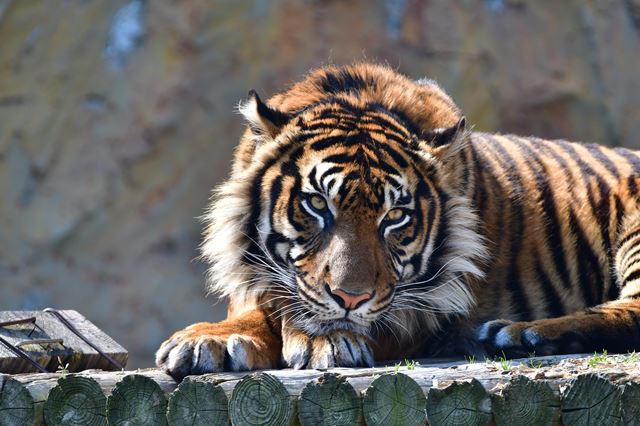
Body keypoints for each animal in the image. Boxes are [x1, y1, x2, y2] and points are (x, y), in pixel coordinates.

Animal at [155, 62, 640, 380]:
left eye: (395, 217)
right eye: (317, 205)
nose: (350, 298)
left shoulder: (422, 311)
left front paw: (324, 338)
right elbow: (261, 304)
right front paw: (210, 339)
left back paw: (518, 334)